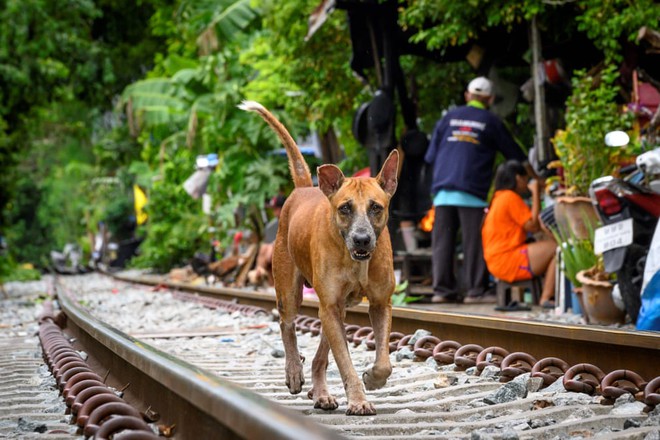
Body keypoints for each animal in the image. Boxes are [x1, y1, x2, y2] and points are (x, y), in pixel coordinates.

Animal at [240, 100, 400, 416]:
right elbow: (345, 362)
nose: (362, 239)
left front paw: (373, 379)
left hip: (337, 308)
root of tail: (304, 186)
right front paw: (359, 399)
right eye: (345, 208)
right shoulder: (328, 304)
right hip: (291, 290)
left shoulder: (380, 303)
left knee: (320, 356)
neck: (355, 261)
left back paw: (321, 392)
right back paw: (294, 372)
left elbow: (383, 360)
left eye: (376, 207)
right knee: (287, 325)